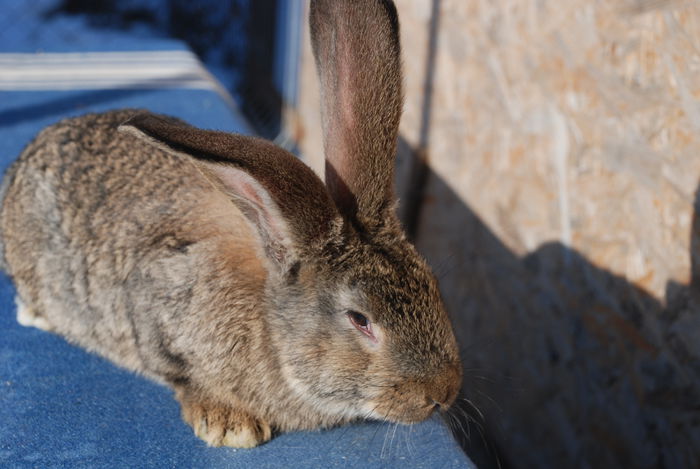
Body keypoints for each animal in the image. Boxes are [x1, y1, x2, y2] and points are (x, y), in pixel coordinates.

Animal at [1, 0, 464, 448]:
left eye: (434, 287)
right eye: (359, 320)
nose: (442, 392)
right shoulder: (155, 301)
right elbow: (179, 372)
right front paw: (230, 425)